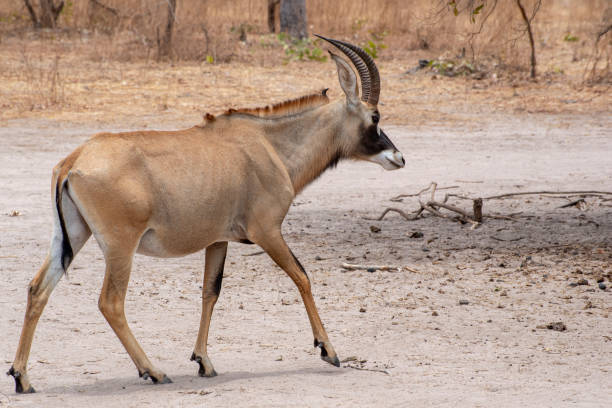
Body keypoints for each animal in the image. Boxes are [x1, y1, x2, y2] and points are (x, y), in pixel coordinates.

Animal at [8, 36, 406, 394]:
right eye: (374, 117)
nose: (398, 158)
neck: (271, 145)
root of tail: (73, 160)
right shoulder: (267, 232)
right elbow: (302, 277)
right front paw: (328, 350)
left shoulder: (218, 240)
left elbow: (209, 292)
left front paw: (203, 361)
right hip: (120, 247)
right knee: (111, 302)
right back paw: (154, 372)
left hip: (73, 236)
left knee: (37, 288)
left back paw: (22, 378)